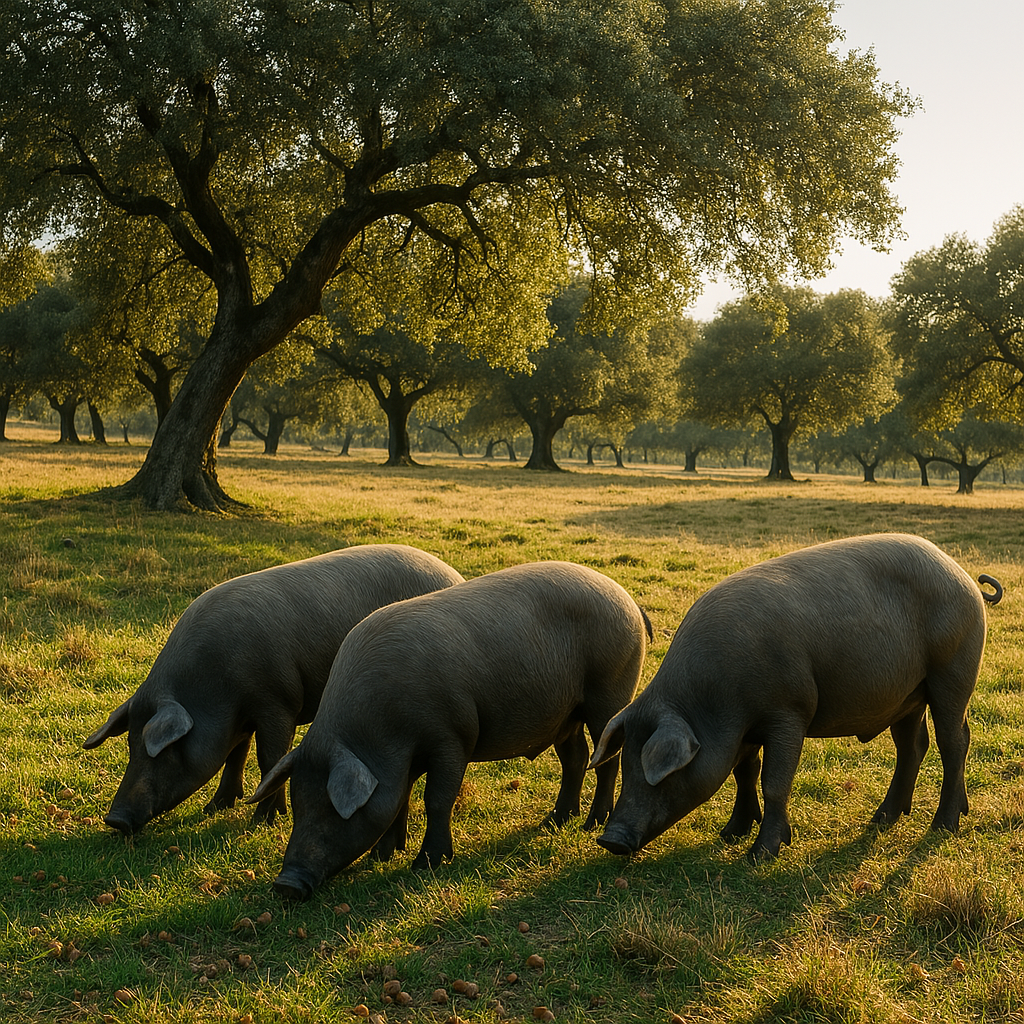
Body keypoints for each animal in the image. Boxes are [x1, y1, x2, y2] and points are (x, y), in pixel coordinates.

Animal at [83, 544, 465, 834]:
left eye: (165, 750)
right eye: (130, 744)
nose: (115, 819)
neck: (214, 689)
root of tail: (453, 573)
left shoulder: (277, 703)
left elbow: (269, 757)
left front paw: (264, 820)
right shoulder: (240, 717)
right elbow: (235, 754)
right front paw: (215, 808)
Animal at [248, 560, 652, 899]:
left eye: (332, 808)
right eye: (298, 804)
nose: (286, 883)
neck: (382, 732)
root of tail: (627, 599)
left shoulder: (452, 737)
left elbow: (437, 799)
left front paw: (425, 865)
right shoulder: (407, 759)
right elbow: (400, 798)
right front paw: (383, 856)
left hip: (609, 691)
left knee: (606, 757)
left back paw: (591, 824)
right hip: (566, 715)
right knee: (576, 758)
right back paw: (554, 821)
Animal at [590, 533, 1002, 863]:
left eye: (661, 772)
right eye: (625, 762)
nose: (611, 839)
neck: (714, 705)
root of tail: (965, 577)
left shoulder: (788, 712)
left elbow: (774, 780)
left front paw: (759, 855)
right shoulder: (746, 730)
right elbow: (743, 772)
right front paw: (730, 833)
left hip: (953, 671)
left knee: (954, 742)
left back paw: (943, 826)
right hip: (908, 695)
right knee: (913, 745)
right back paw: (882, 818)